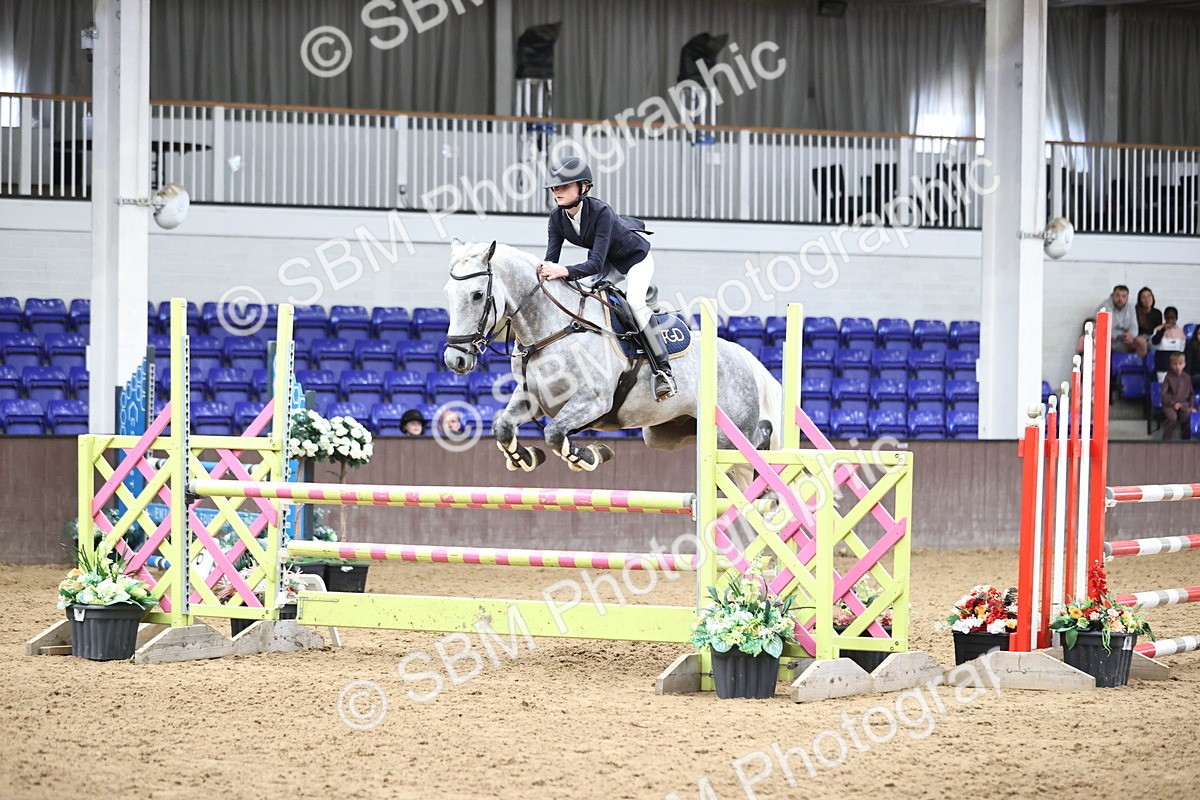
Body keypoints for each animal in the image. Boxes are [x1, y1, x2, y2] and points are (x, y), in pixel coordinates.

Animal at [441, 240, 782, 474]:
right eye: (448, 294)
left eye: (476, 295)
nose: (454, 360)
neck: (553, 329)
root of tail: (741, 355)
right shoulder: (534, 399)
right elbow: (502, 427)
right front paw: (524, 458)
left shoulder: (594, 400)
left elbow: (555, 433)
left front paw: (589, 456)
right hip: (668, 432)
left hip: (729, 433)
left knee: (756, 441)